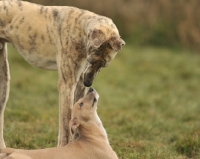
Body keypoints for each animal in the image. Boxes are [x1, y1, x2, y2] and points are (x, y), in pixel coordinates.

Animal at [0, 0, 125, 147]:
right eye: (90, 60)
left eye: (103, 65)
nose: (88, 82)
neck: (81, 27)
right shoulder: (67, 85)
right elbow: (66, 125)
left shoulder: (79, 85)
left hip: (4, 79)